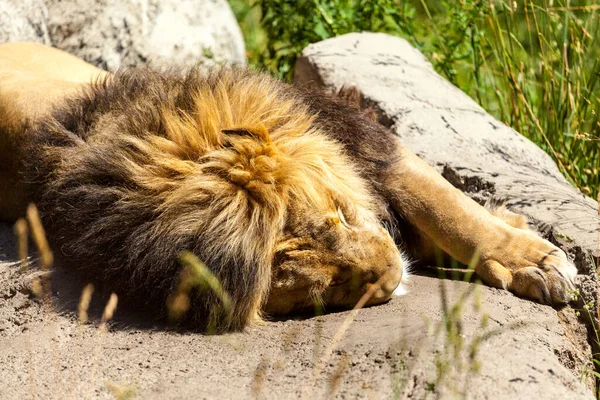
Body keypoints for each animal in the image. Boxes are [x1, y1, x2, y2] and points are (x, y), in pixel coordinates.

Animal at [0, 42, 580, 332]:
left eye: (339, 215)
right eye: (320, 292)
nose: (393, 277)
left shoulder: (356, 135)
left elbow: (448, 209)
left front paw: (536, 261)